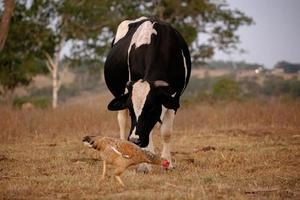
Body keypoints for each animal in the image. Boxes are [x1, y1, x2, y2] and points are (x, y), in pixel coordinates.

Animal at [104, 17, 191, 170]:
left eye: (150, 108)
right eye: (131, 109)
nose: (134, 140)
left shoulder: (173, 99)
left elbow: (166, 132)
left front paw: (168, 163)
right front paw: (144, 165)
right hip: (119, 97)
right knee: (122, 122)